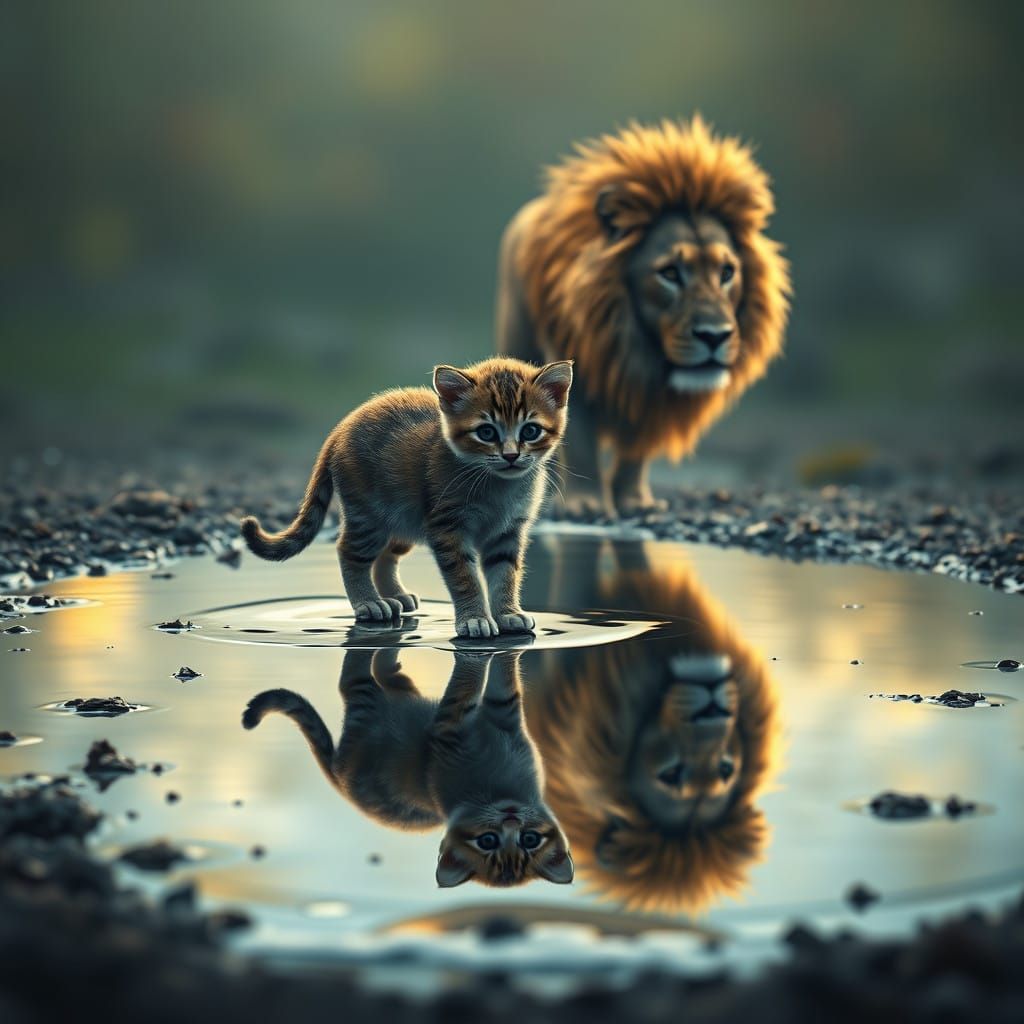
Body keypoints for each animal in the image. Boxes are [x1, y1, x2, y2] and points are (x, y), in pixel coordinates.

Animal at [496, 117, 791, 517]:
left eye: (727, 272)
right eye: (669, 273)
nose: (715, 336)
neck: (635, 346)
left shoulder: (651, 394)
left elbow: (637, 451)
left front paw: (634, 501)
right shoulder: (577, 368)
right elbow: (582, 443)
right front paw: (586, 505)